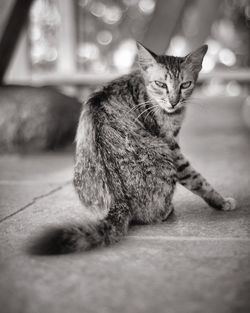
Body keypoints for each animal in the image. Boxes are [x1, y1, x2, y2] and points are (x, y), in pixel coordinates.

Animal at [38, 42, 236, 255]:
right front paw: (221, 201)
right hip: (164, 156)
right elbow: (197, 179)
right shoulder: (172, 146)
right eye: (161, 84)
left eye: (185, 85)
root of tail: (117, 201)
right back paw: (167, 210)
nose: (174, 101)